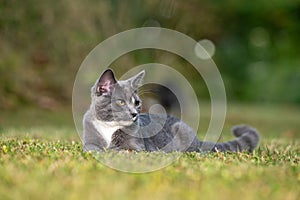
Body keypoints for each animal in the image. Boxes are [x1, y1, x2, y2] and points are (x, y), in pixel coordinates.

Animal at [82, 69, 260, 152]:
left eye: (137, 103)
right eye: (120, 102)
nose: (134, 114)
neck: (109, 128)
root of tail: (198, 140)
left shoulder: (137, 147)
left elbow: (123, 149)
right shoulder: (89, 137)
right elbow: (91, 147)